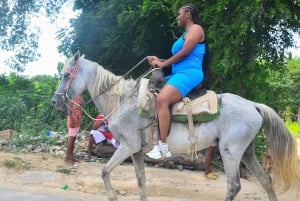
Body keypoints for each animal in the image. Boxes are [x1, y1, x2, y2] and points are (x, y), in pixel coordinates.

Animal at [51, 52, 298, 201]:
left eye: (66, 74)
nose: (55, 101)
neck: (123, 100)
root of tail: (254, 106)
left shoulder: (127, 147)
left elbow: (104, 171)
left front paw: (112, 196)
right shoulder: (137, 151)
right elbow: (141, 180)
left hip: (231, 152)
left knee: (234, 186)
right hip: (246, 152)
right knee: (265, 180)